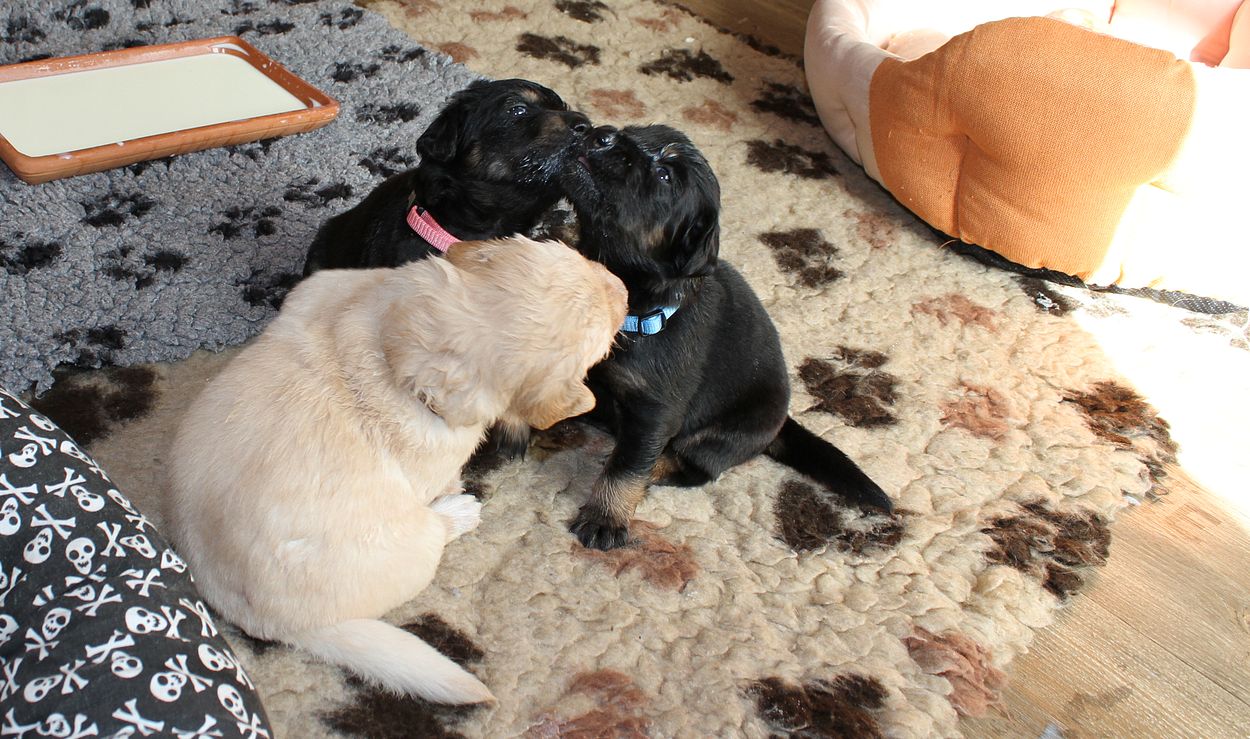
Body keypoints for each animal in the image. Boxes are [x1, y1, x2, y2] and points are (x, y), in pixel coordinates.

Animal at [165, 236, 626, 703]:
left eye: (576, 254)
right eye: (599, 345)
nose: (624, 289)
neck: (394, 346)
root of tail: (260, 621)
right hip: (411, 546)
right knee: (434, 531)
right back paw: (460, 512)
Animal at [557, 124, 893, 551]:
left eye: (664, 175)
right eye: (630, 132)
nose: (599, 134)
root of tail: (782, 423)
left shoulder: (655, 410)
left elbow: (627, 467)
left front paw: (605, 517)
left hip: (723, 433)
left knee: (694, 467)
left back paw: (654, 465)